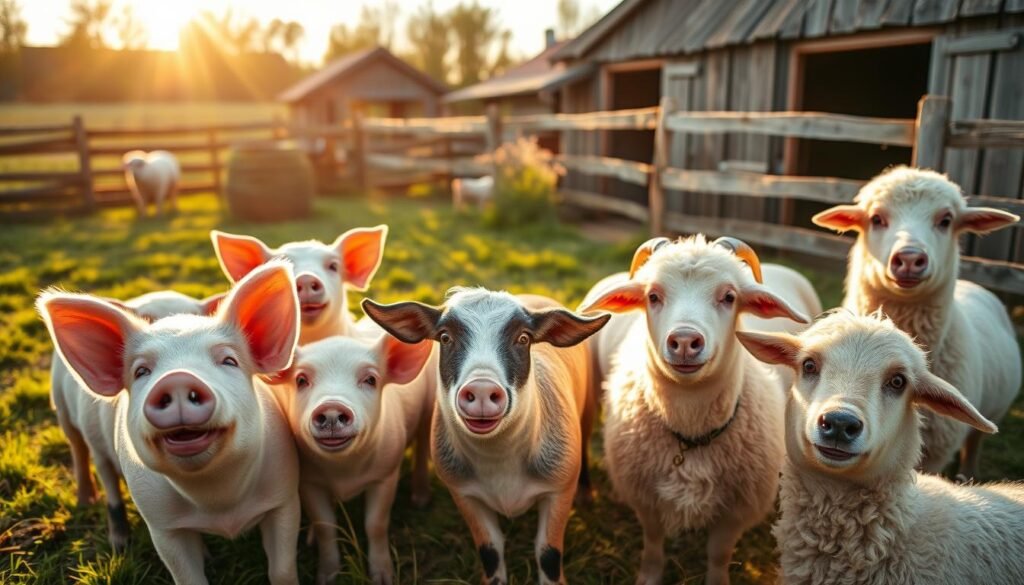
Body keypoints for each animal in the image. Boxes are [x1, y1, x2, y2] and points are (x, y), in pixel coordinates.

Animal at [48, 290, 223, 553]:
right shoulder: (99, 446)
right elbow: (112, 492)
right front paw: (119, 546)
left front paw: (205, 554)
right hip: (62, 407)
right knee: (77, 449)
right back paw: (85, 502)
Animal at [581, 235, 811, 581]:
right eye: (653, 296)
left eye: (729, 297)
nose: (686, 341)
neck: (691, 431)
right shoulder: (646, 499)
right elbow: (652, 544)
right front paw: (649, 577)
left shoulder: (736, 511)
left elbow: (719, 554)